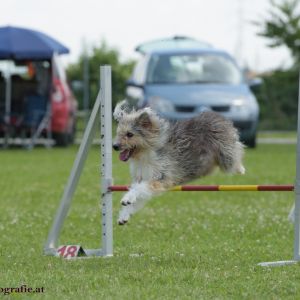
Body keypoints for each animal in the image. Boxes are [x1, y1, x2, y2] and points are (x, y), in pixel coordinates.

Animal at [112, 101, 244, 225]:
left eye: (130, 134)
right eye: (118, 133)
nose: (114, 146)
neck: (145, 155)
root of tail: (216, 114)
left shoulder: (163, 177)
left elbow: (140, 188)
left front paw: (127, 198)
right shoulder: (142, 178)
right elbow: (138, 195)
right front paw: (124, 215)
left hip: (225, 155)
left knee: (235, 152)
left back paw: (240, 168)